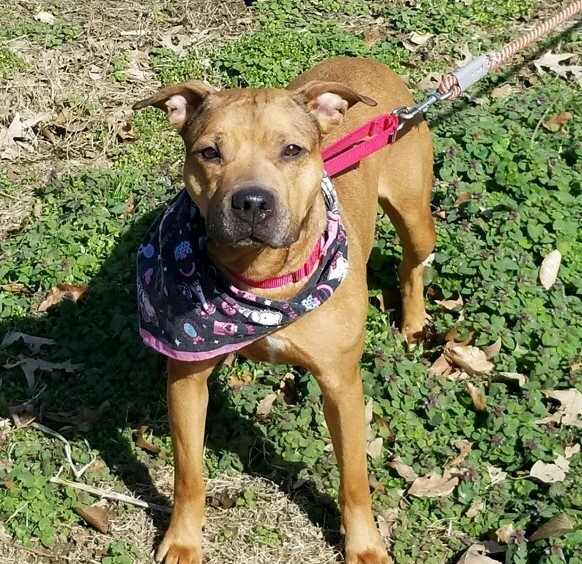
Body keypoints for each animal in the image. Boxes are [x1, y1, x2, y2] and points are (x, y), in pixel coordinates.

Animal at [135, 58, 436, 564]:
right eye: (209, 152)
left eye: (292, 150)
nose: (252, 201)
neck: (262, 281)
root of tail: (364, 60)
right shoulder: (186, 380)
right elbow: (188, 473)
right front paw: (182, 540)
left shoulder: (341, 385)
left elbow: (354, 478)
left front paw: (365, 545)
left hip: (414, 214)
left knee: (413, 264)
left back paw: (413, 323)